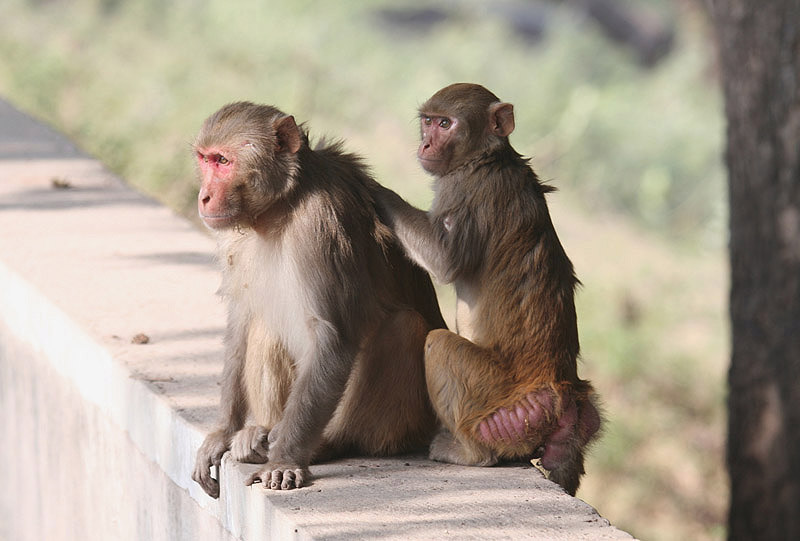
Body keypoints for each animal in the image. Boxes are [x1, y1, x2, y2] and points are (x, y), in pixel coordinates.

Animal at [190, 101, 445, 496]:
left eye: (223, 161)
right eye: (204, 160)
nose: (203, 195)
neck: (281, 208)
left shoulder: (321, 223)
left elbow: (332, 336)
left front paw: (284, 459)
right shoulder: (234, 235)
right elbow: (242, 321)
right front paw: (222, 433)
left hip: (399, 424)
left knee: (403, 327)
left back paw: (326, 444)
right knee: (263, 326)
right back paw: (260, 433)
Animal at [373, 83, 601, 495]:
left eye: (445, 124)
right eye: (427, 121)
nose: (425, 144)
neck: (487, 158)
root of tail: (559, 390)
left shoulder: (465, 188)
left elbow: (445, 260)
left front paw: (371, 185)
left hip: (494, 393)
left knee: (438, 345)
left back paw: (469, 453)